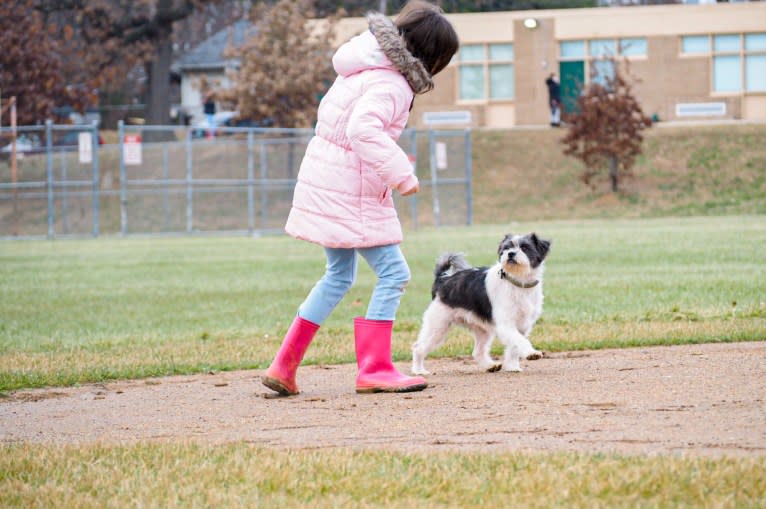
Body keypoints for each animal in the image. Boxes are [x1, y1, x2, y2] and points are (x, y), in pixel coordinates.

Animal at [414, 233, 552, 374]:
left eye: (525, 247)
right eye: (506, 248)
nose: (511, 254)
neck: (518, 283)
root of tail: (443, 279)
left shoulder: (522, 325)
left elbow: (514, 346)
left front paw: (512, 366)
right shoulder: (506, 324)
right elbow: (519, 340)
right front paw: (531, 353)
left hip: (482, 331)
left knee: (477, 352)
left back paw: (490, 366)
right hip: (437, 327)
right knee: (418, 348)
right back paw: (419, 371)